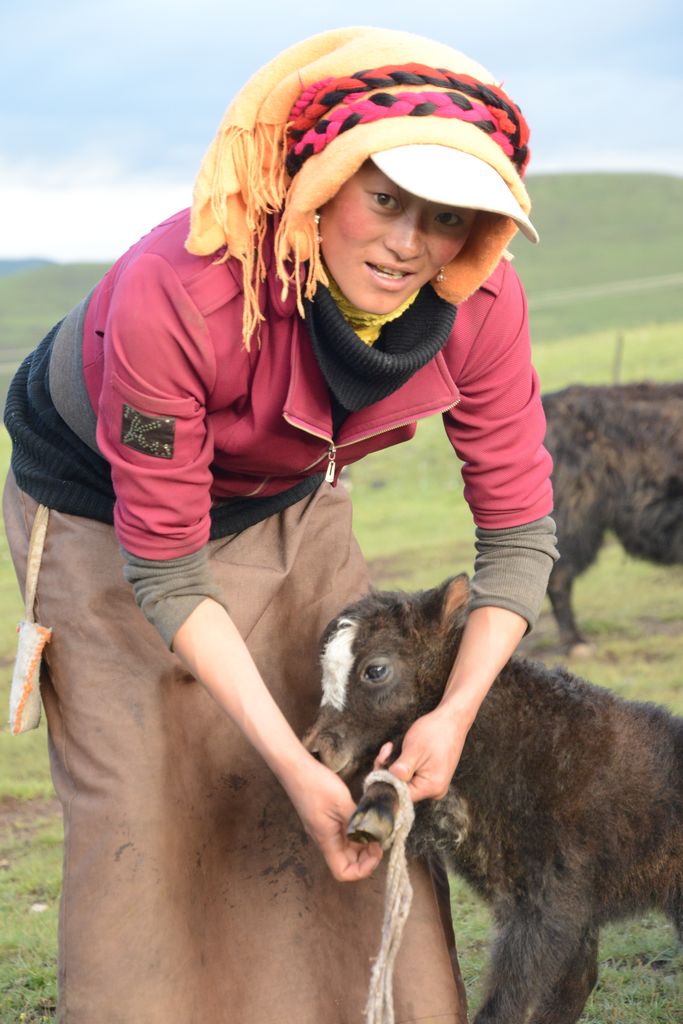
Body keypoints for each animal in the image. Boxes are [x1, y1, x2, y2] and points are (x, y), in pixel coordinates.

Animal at [305, 577, 683, 1024]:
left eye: (375, 670)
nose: (316, 752)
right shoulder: (558, 902)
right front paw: (372, 817)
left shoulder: (547, 899)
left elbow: (509, 1001)